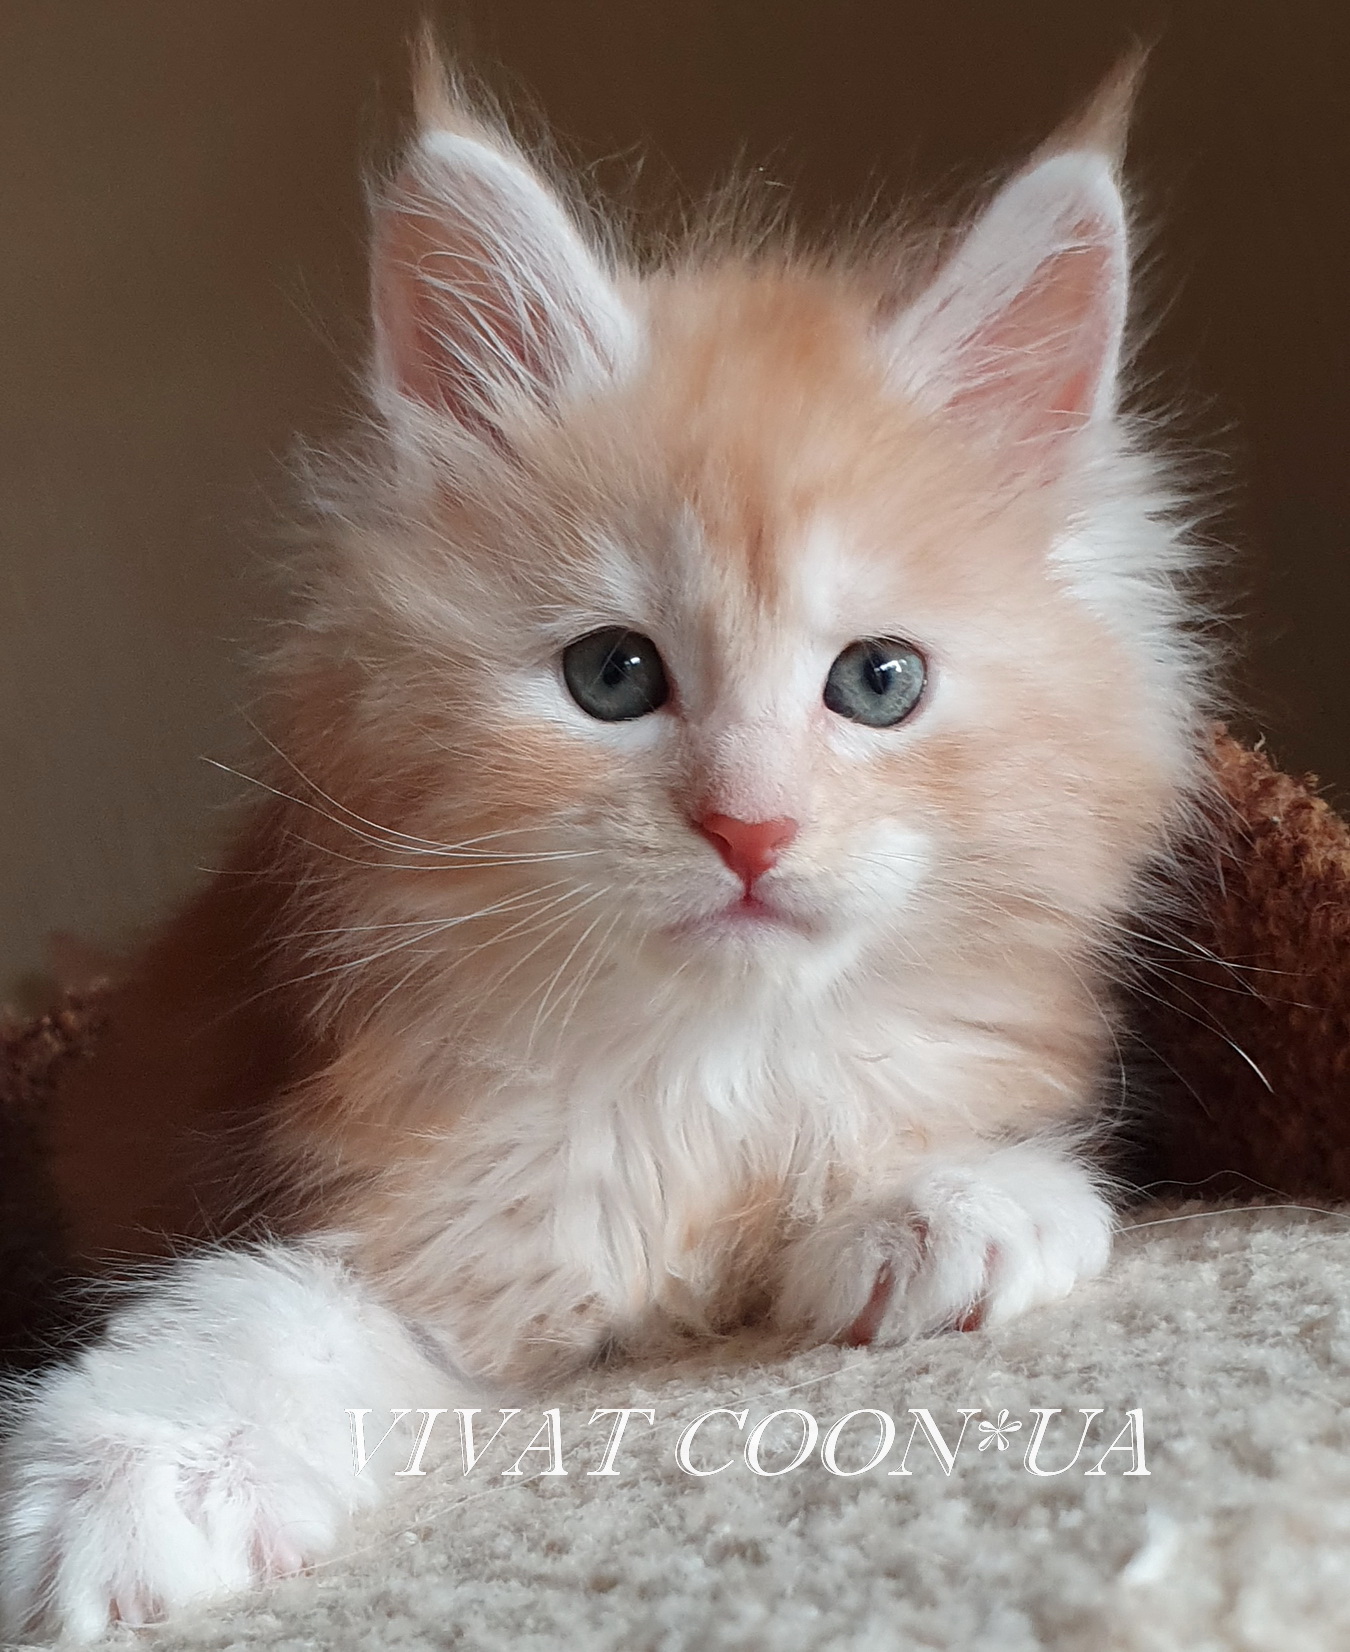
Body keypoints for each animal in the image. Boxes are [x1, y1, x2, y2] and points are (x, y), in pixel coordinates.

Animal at [1, 51, 1209, 1641]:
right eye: (615, 677)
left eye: (879, 682)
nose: (751, 826)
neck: (708, 1065)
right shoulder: (416, 1224)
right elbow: (272, 1315)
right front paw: (138, 1475)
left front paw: (958, 1201)